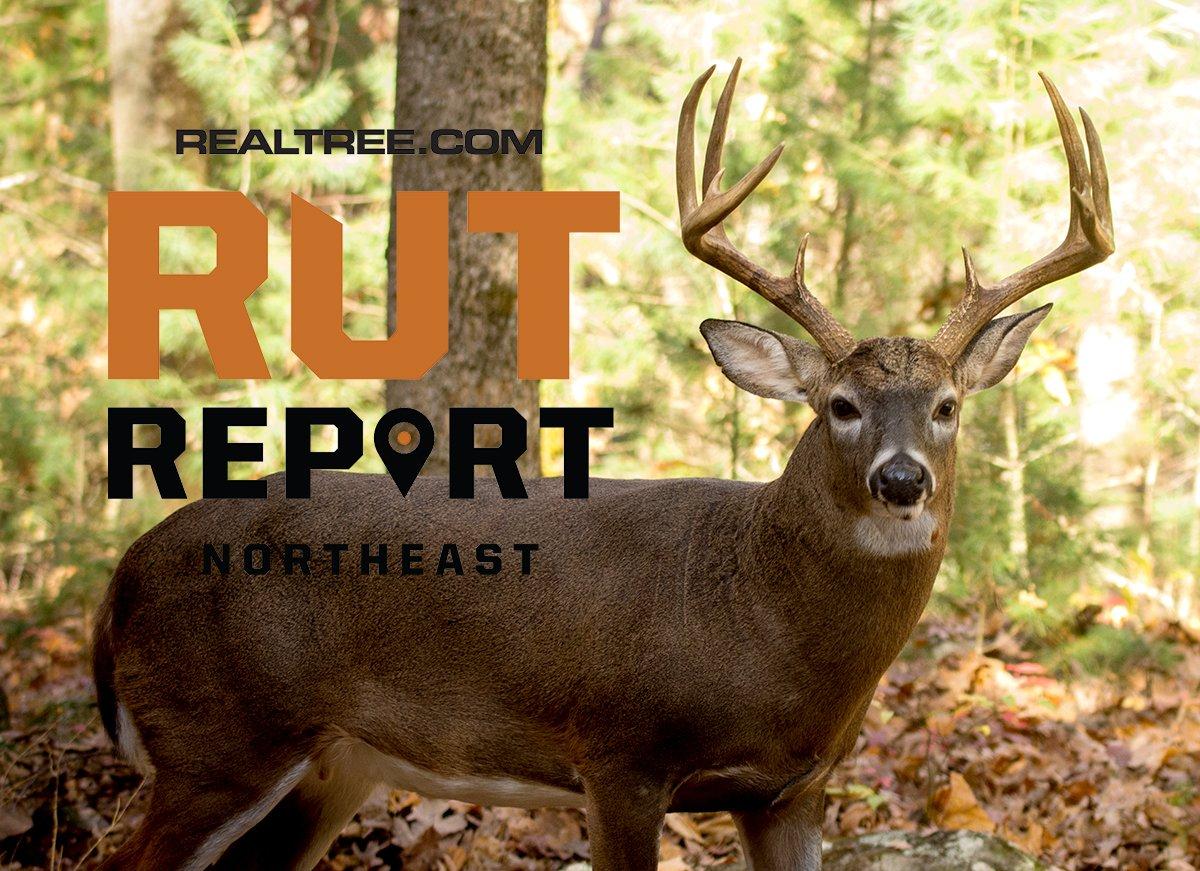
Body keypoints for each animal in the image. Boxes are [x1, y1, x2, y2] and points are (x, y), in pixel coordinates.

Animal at [92, 60, 1113, 871]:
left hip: (333, 762)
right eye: (841, 406)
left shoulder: (793, 787)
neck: (761, 624)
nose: (902, 481)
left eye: (947, 406)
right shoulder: (619, 753)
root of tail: (122, 573)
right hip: (218, 733)